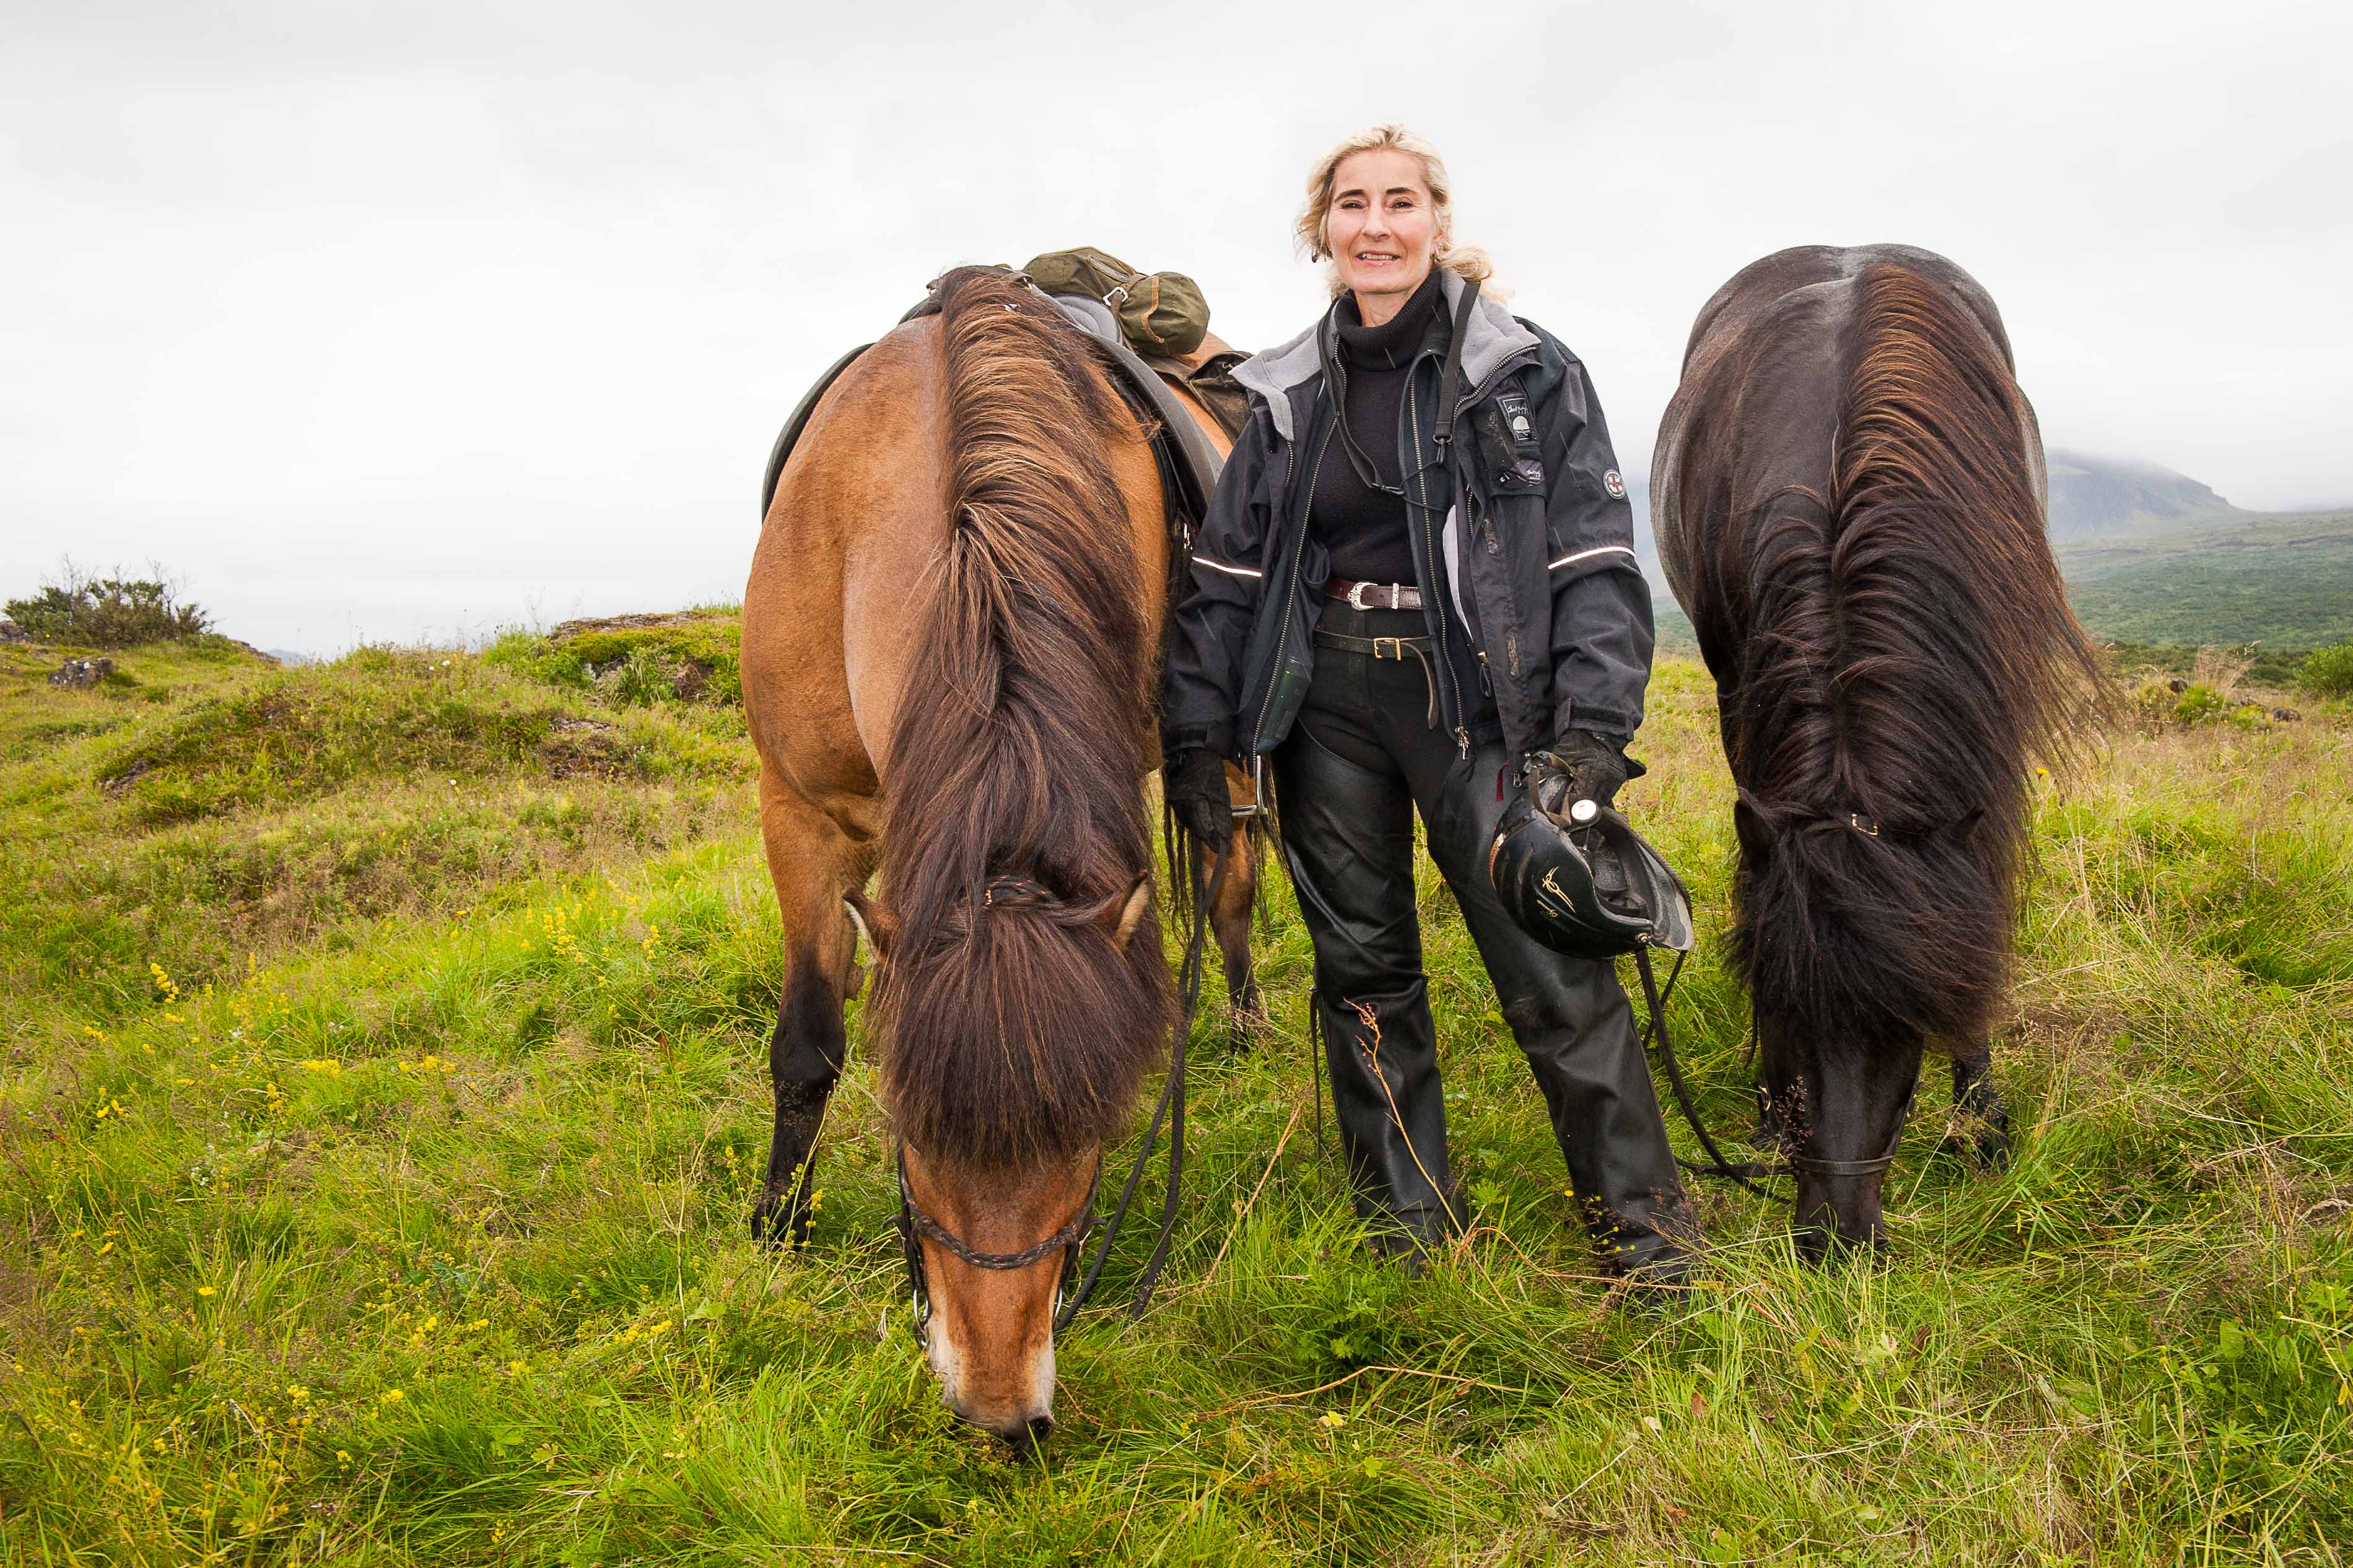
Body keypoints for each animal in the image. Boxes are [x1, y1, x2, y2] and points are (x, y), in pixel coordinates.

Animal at [739, 265, 1252, 1446]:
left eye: (1093, 1138)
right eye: (912, 1135)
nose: (1000, 1409)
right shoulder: (798, 809)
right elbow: (807, 1044)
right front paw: (777, 1230)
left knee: (1237, 879)